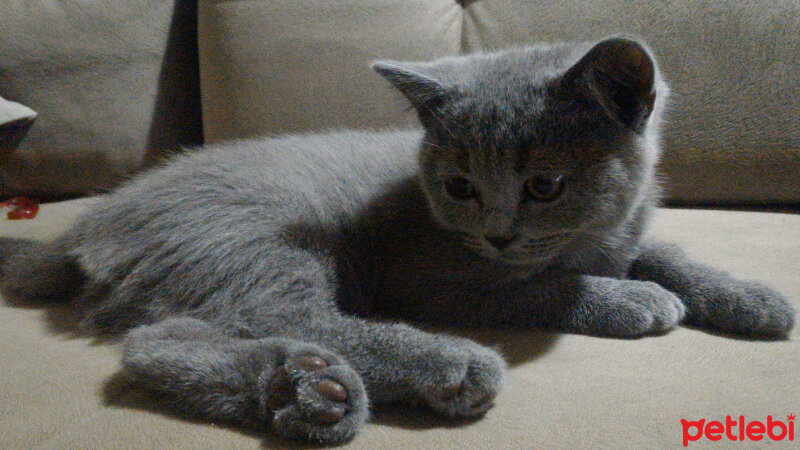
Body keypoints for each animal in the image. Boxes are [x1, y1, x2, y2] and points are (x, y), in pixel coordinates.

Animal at [0, 37, 792, 442]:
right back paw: (439, 364)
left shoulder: (623, 235)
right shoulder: (433, 274)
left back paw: (304, 391)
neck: (592, 239)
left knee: (155, 340)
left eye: (544, 184)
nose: (498, 234)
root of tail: (89, 222)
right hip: (263, 239)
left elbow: (667, 254)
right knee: (276, 311)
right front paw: (632, 300)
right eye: (459, 187)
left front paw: (751, 297)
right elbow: (541, 287)